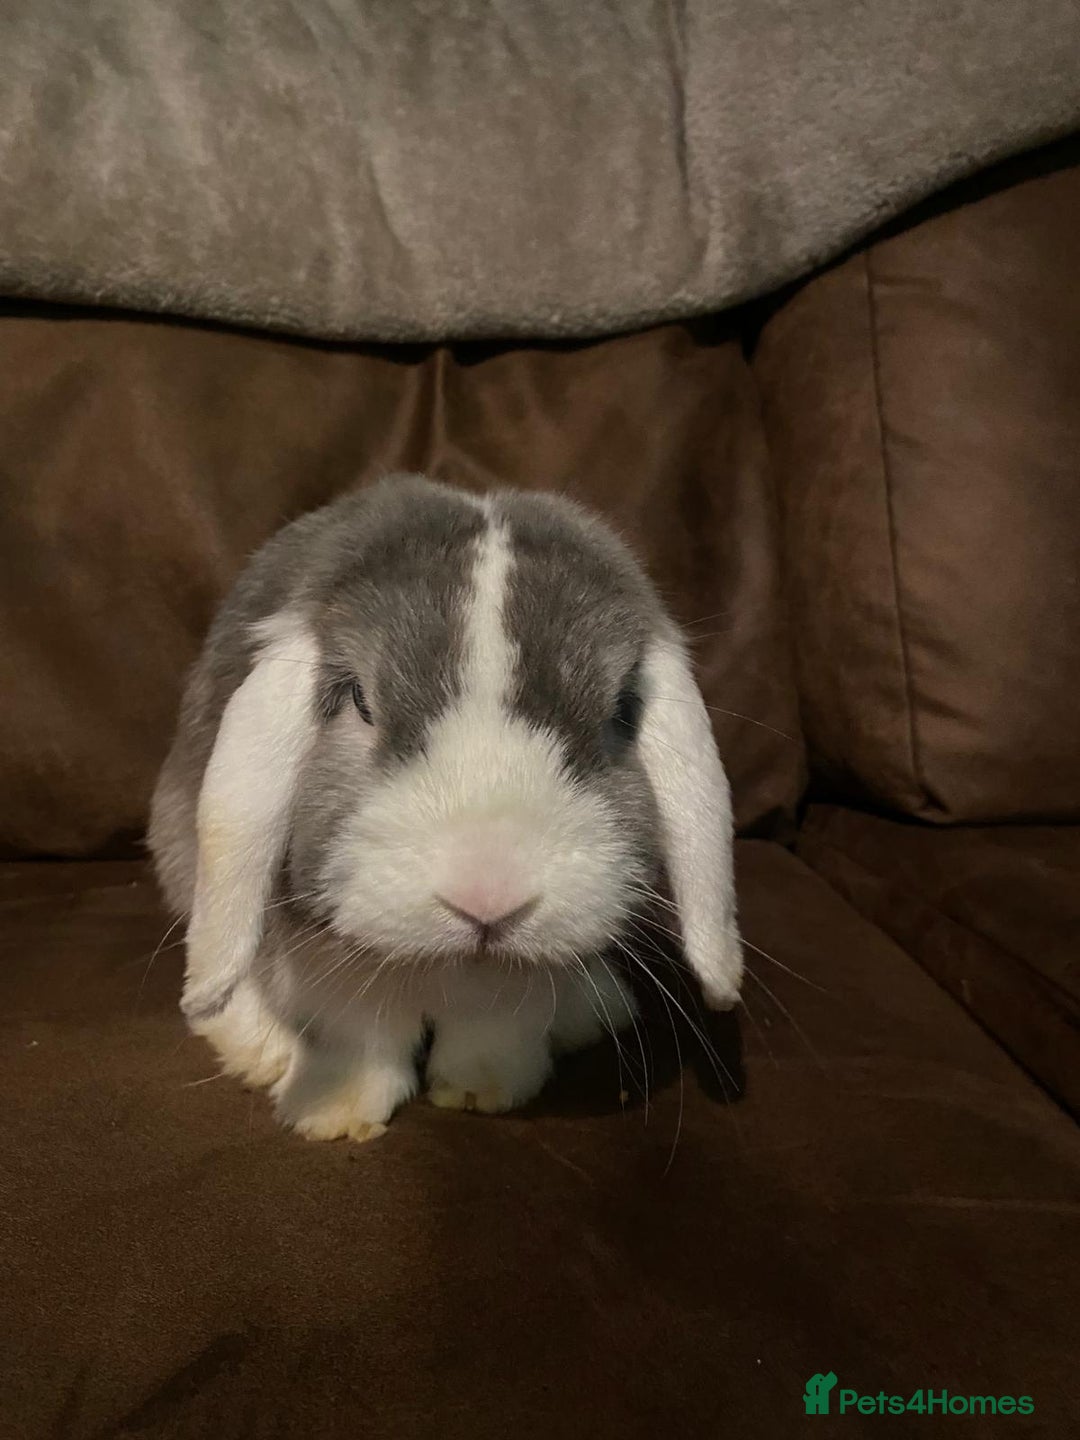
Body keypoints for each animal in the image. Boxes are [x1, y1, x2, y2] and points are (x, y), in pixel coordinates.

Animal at [148, 475, 742, 1142]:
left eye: (620, 711)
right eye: (359, 699)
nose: (488, 898)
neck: (452, 968)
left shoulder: (509, 991)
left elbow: (493, 1033)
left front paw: (485, 1091)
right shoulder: (330, 975)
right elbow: (357, 1034)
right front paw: (335, 1114)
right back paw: (259, 1049)